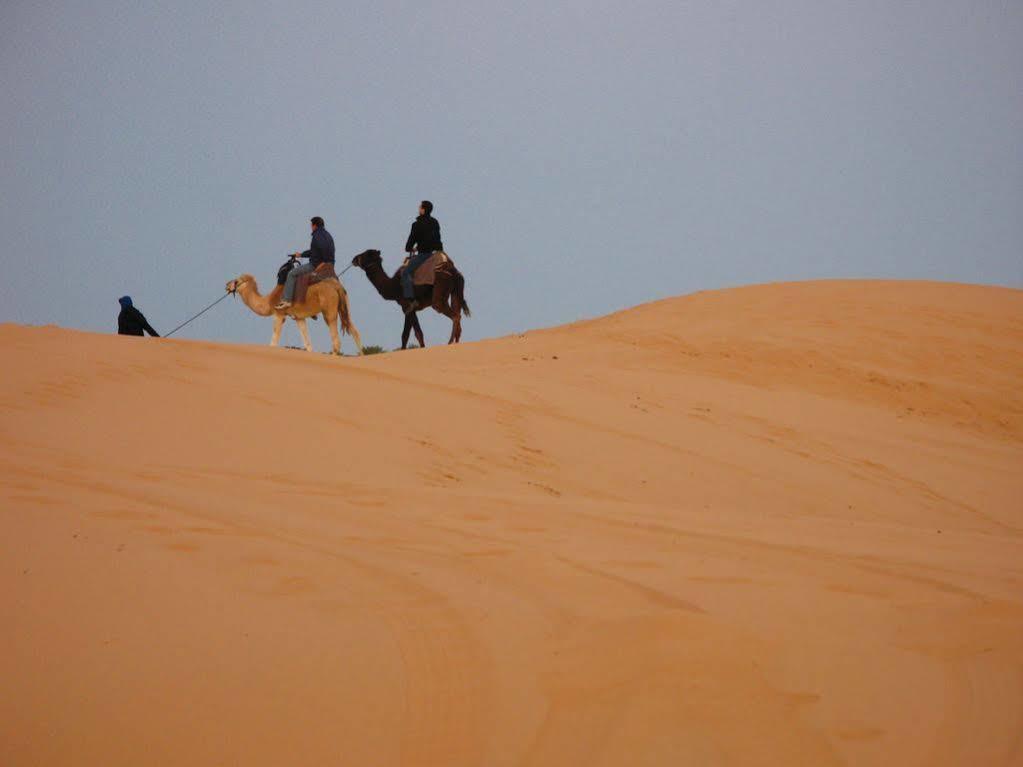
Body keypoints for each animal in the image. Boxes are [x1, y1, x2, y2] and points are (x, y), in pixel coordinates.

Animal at [225, 274, 364, 355]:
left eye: (237, 281)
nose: (227, 285)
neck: (269, 300)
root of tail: (337, 287)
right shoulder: (299, 317)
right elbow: (307, 342)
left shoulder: (279, 314)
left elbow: (273, 341)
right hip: (345, 307)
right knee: (354, 330)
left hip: (329, 310)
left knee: (336, 339)